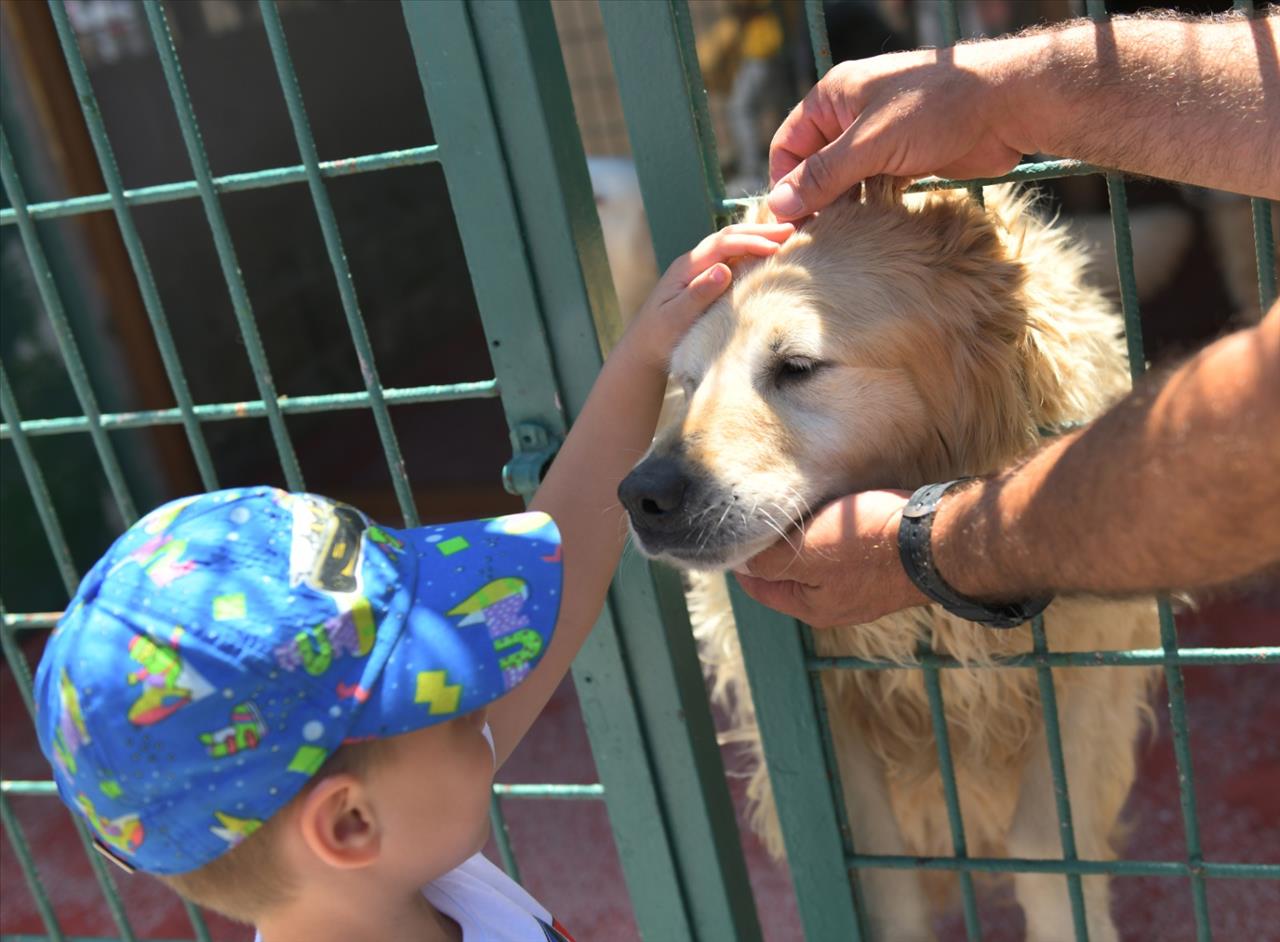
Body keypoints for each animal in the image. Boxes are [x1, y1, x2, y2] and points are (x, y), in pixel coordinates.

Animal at [616, 184, 1162, 941]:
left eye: (797, 367)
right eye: (689, 383)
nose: (642, 496)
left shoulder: (1089, 670)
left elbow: (1048, 851)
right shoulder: (833, 704)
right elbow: (881, 867)